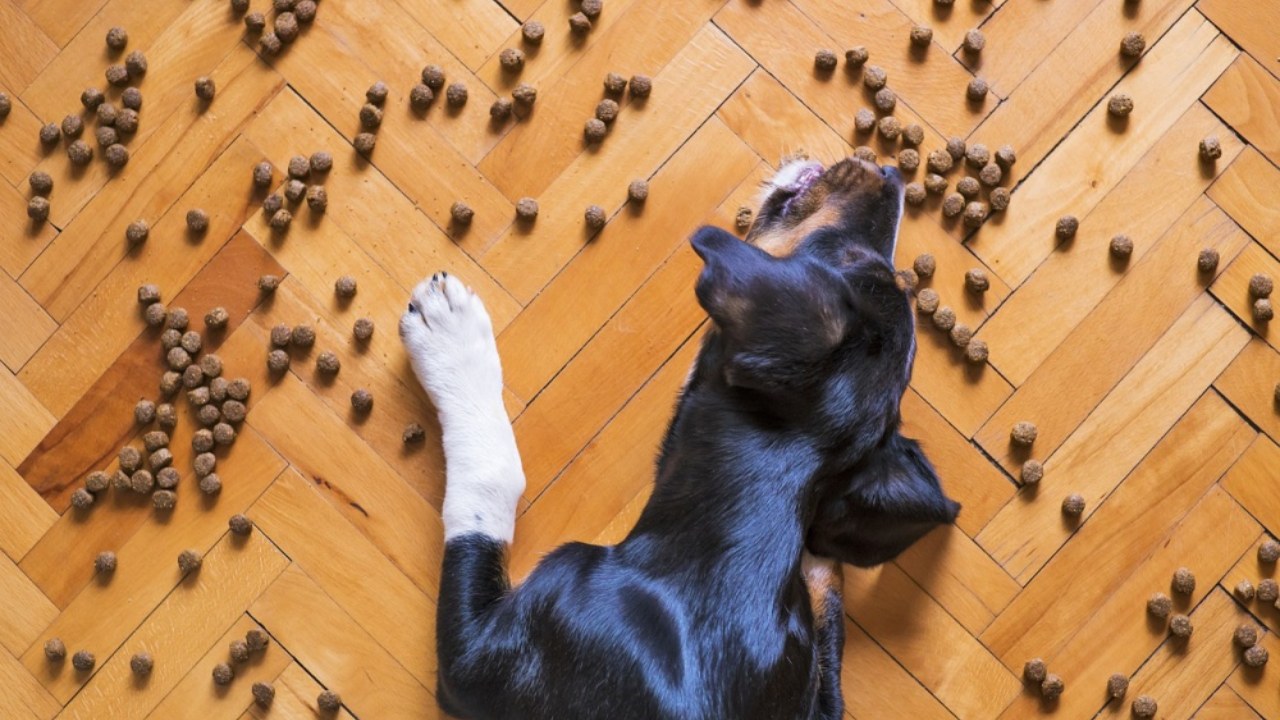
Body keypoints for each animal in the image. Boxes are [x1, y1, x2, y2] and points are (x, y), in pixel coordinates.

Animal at [399, 154, 962, 712]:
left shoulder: (477, 662)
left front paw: (450, 336)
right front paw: (819, 557)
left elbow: (490, 483)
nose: (891, 174)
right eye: (871, 266)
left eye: (846, 260)